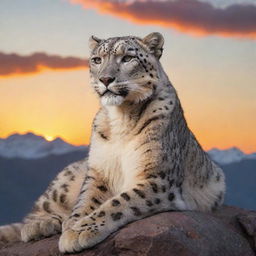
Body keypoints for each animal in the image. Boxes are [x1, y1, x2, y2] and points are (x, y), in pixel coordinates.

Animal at [0, 33, 224, 253]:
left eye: (127, 58)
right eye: (97, 60)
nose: (105, 79)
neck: (122, 116)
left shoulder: (156, 177)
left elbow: (119, 202)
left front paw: (78, 231)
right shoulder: (99, 171)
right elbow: (85, 200)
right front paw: (73, 225)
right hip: (66, 179)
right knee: (39, 209)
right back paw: (39, 224)